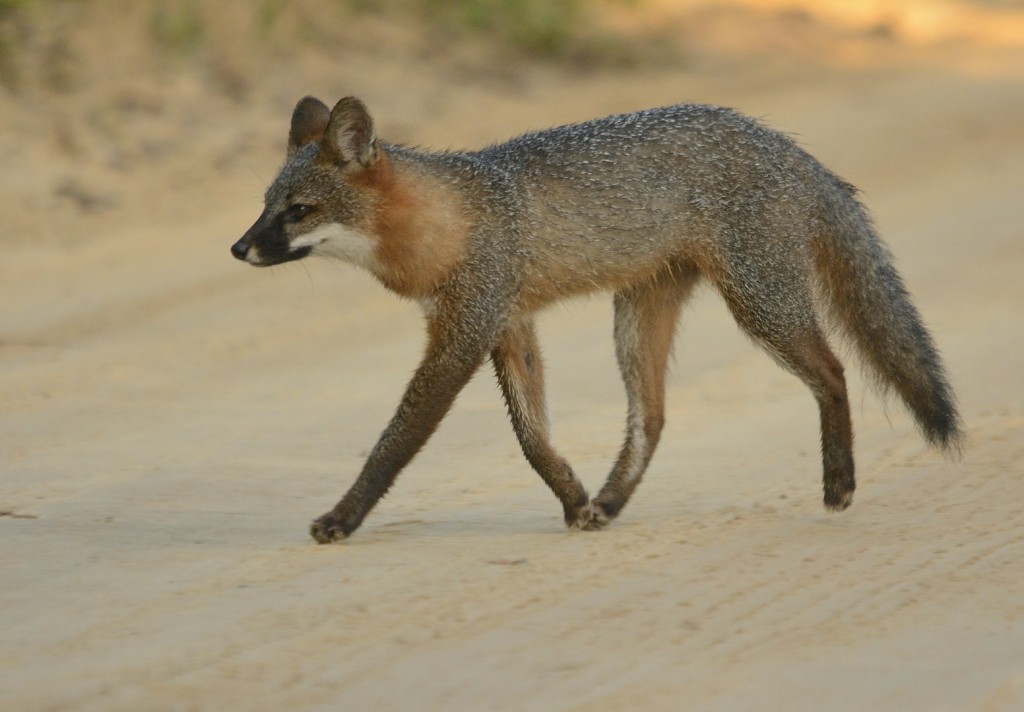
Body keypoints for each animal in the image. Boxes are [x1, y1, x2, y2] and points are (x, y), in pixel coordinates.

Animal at [230, 93, 958, 540]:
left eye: (298, 211)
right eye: (264, 206)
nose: (238, 249)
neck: (449, 220)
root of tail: (786, 145)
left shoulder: (464, 332)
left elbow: (395, 442)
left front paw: (343, 517)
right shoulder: (508, 327)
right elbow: (532, 439)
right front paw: (574, 496)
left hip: (760, 306)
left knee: (833, 372)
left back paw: (839, 482)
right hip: (638, 322)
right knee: (652, 419)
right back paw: (608, 502)